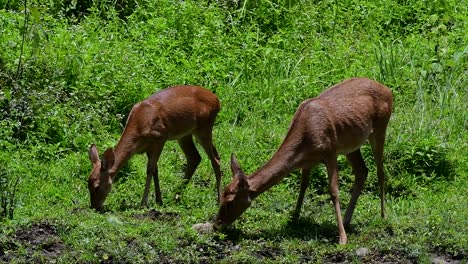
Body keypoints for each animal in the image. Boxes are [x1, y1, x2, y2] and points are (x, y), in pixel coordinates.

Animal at [88, 85, 223, 211]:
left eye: (97, 187)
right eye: (87, 184)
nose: (94, 207)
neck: (139, 125)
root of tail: (217, 100)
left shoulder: (160, 137)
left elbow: (150, 169)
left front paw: (144, 202)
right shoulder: (148, 147)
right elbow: (156, 170)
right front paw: (159, 199)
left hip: (204, 127)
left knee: (215, 159)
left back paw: (219, 199)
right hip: (185, 135)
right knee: (194, 157)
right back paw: (176, 197)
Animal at [214, 77, 394, 244]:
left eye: (229, 202)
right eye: (220, 197)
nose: (216, 225)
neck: (305, 140)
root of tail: (388, 90)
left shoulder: (330, 152)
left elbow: (333, 191)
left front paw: (342, 238)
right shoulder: (307, 162)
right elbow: (303, 186)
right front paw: (294, 217)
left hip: (380, 128)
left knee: (380, 171)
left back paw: (383, 215)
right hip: (351, 145)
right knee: (362, 171)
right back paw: (347, 220)